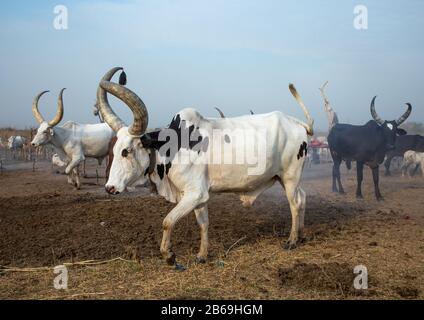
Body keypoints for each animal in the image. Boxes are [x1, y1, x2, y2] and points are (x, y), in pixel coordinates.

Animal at [97, 66, 314, 264]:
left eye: (127, 151)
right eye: (114, 149)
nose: (109, 187)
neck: (173, 145)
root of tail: (298, 124)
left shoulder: (195, 193)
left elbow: (167, 221)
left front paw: (168, 255)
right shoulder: (198, 197)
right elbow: (203, 224)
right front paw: (202, 255)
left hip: (290, 177)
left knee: (295, 204)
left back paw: (292, 240)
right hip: (284, 178)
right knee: (303, 197)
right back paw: (302, 234)